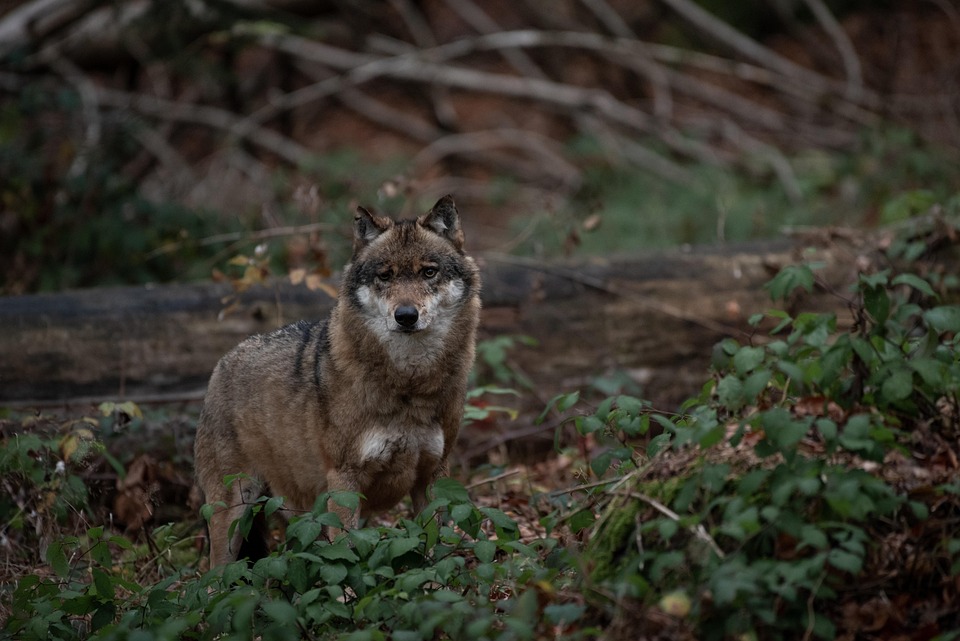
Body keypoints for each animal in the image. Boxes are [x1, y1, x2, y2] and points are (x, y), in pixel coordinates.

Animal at [193, 195, 481, 566]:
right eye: (385, 276)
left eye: (428, 272)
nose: (405, 316)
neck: (409, 383)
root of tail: (222, 363)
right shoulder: (344, 481)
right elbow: (345, 555)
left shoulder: (434, 476)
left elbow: (434, 550)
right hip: (233, 511)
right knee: (215, 574)